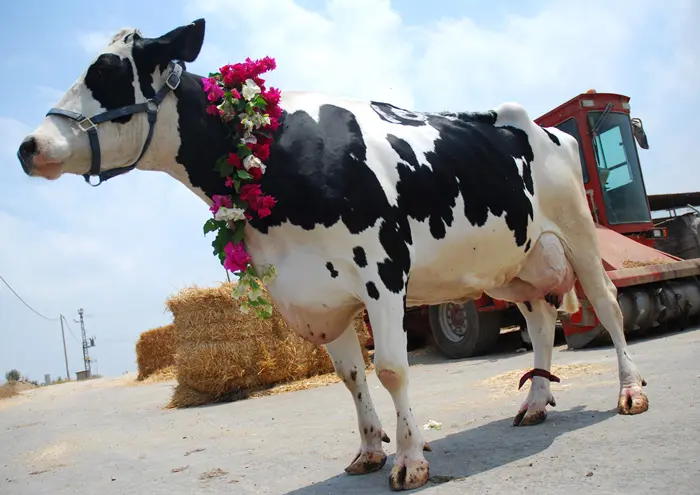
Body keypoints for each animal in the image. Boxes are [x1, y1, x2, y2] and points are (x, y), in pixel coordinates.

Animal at [16, 18, 652, 492]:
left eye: (104, 72)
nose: (27, 146)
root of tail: (541, 125)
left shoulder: (382, 272)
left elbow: (392, 368)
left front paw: (410, 459)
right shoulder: (315, 296)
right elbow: (350, 376)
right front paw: (369, 451)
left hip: (578, 233)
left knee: (606, 303)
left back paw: (630, 391)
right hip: (508, 263)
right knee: (540, 317)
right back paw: (537, 403)